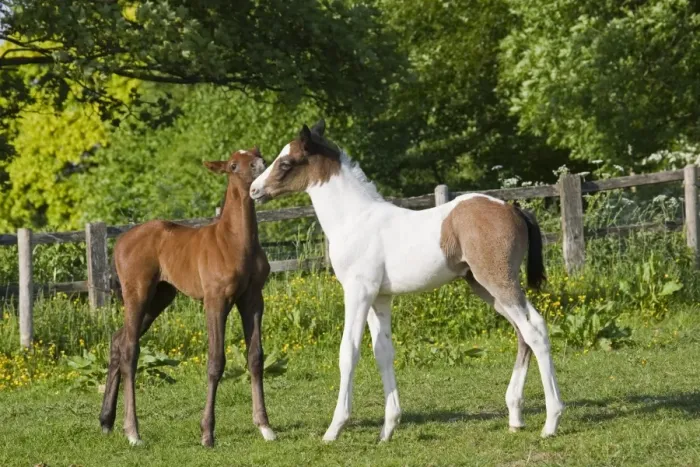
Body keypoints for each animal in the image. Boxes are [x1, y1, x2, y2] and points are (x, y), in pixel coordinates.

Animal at [99, 148, 276, 447]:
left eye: (257, 153)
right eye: (233, 165)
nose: (260, 165)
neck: (235, 242)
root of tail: (120, 241)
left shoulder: (253, 300)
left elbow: (255, 357)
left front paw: (265, 427)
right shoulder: (215, 301)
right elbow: (216, 362)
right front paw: (207, 433)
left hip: (160, 298)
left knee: (117, 340)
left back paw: (106, 421)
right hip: (138, 294)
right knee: (130, 350)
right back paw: (133, 432)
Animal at [249, 121, 564, 442]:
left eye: (286, 162)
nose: (254, 189)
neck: (354, 220)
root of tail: (513, 208)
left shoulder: (358, 292)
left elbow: (348, 351)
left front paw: (334, 429)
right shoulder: (379, 297)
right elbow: (383, 353)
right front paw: (388, 429)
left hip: (499, 280)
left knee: (534, 331)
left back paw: (551, 422)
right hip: (486, 287)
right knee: (525, 331)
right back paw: (515, 417)